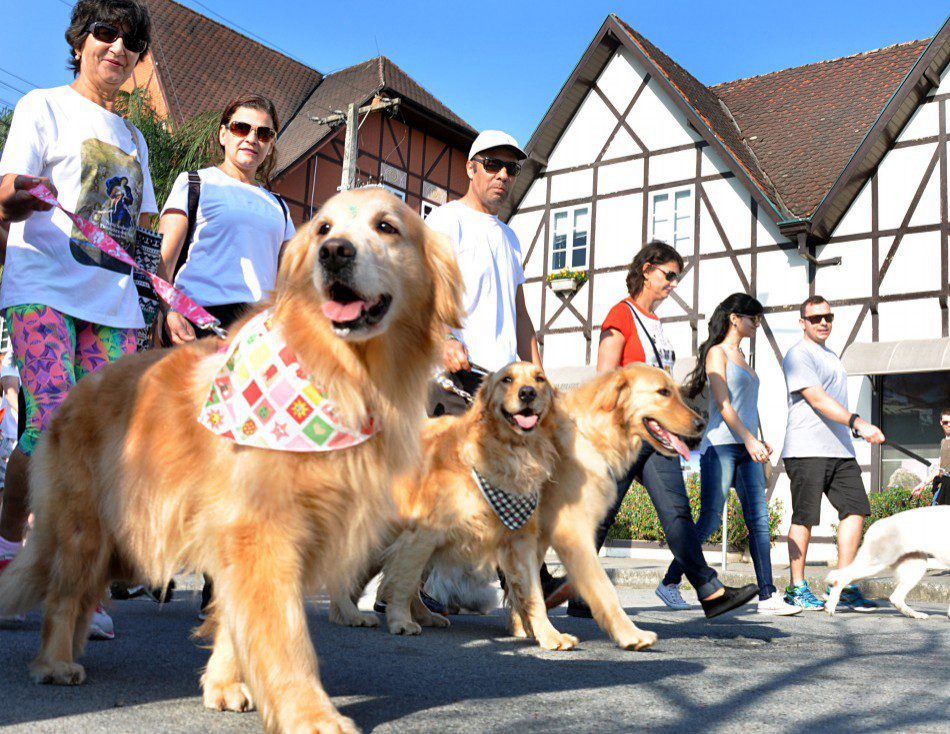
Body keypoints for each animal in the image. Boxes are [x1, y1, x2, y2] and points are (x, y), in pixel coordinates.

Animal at [0, 190, 464, 734]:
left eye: (387, 226)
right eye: (323, 229)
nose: (334, 253)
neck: (337, 372)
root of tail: (72, 394)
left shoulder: (248, 538)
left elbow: (234, 619)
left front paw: (223, 686)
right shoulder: (262, 531)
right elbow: (284, 634)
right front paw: (309, 712)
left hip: (121, 541)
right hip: (86, 532)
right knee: (63, 597)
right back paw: (54, 662)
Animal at [374, 362, 580, 648]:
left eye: (539, 379)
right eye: (507, 379)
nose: (527, 393)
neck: (508, 453)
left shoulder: (520, 541)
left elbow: (534, 594)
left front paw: (548, 635)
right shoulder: (422, 534)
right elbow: (403, 582)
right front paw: (400, 622)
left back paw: (427, 616)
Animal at [512, 366, 708, 652]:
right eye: (663, 392)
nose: (701, 425)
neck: (592, 433)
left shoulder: (537, 534)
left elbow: (526, 584)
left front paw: (526, 627)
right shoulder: (570, 531)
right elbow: (603, 588)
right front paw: (629, 634)